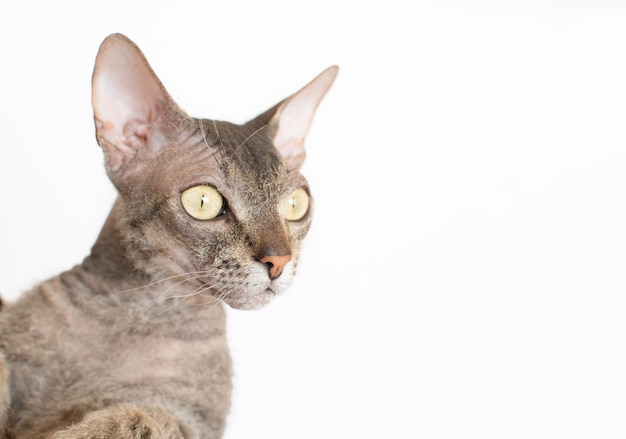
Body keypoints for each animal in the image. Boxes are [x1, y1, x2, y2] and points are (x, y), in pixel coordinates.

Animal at [0, 32, 336, 438]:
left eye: (295, 204)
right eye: (203, 201)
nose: (279, 260)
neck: (134, 312)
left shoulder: (189, 420)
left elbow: (135, 417)